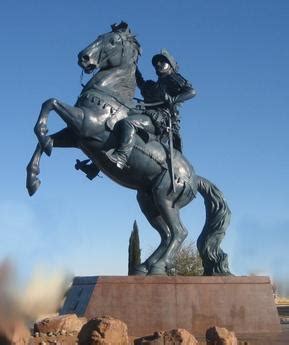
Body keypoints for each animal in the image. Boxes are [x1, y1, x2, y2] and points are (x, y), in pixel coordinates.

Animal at [25, 22, 231, 274]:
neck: (109, 94)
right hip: (148, 201)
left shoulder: (84, 124)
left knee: (179, 233)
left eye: (112, 41)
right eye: (99, 36)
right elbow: (44, 138)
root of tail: (195, 178)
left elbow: (50, 102)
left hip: (164, 198)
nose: (83, 57)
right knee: (166, 234)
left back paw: (157, 266)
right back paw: (145, 266)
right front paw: (33, 179)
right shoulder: (76, 136)